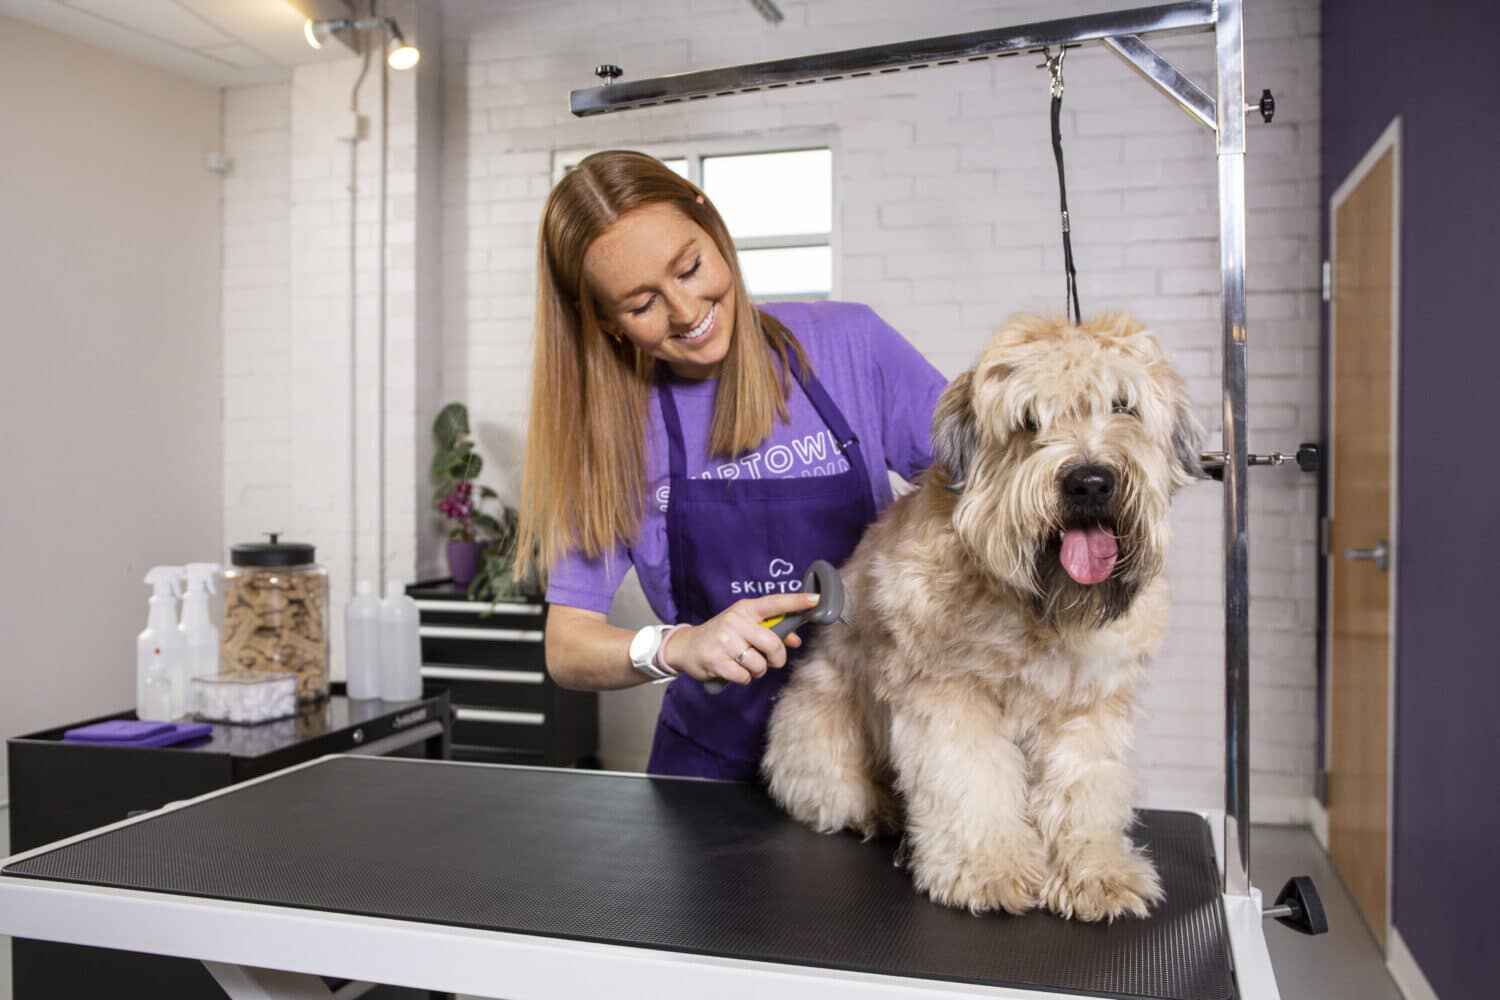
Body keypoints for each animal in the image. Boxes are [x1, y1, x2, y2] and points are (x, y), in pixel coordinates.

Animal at [768, 313, 1200, 923]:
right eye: (1028, 421)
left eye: (1123, 406)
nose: (1090, 482)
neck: (1037, 608)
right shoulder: (950, 697)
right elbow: (972, 782)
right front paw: (988, 869)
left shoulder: (1091, 704)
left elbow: (1086, 787)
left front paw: (1097, 872)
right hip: (814, 723)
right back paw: (883, 814)